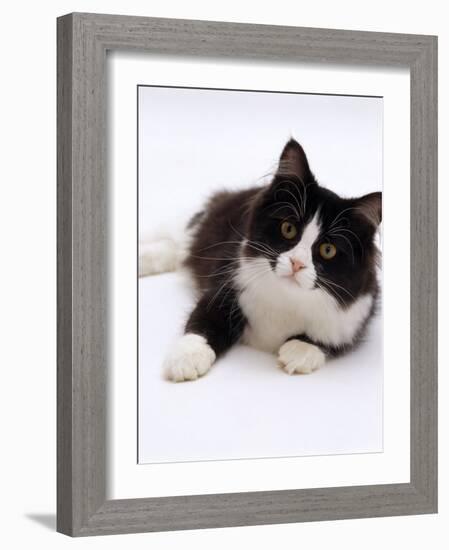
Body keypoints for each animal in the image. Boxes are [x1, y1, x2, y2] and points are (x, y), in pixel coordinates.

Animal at [139, 139, 378, 384]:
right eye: (288, 229)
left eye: (328, 250)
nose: (297, 263)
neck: (288, 297)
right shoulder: (226, 286)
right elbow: (203, 322)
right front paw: (187, 358)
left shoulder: (354, 318)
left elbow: (329, 340)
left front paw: (300, 351)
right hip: (194, 230)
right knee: (172, 242)